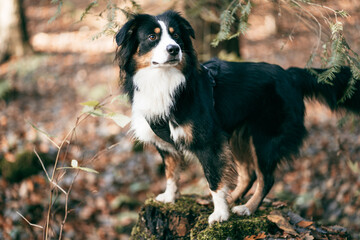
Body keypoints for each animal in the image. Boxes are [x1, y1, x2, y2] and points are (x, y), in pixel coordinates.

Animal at [115, 10, 360, 225]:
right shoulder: (166, 144)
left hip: (265, 138)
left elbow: (213, 178)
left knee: (266, 178)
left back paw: (247, 208)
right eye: (152, 37)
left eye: (176, 36)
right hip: (238, 137)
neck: (163, 81)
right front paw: (169, 197)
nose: (174, 49)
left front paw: (220, 215)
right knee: (248, 175)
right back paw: (232, 198)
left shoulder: (209, 141)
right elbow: (171, 172)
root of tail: (290, 74)